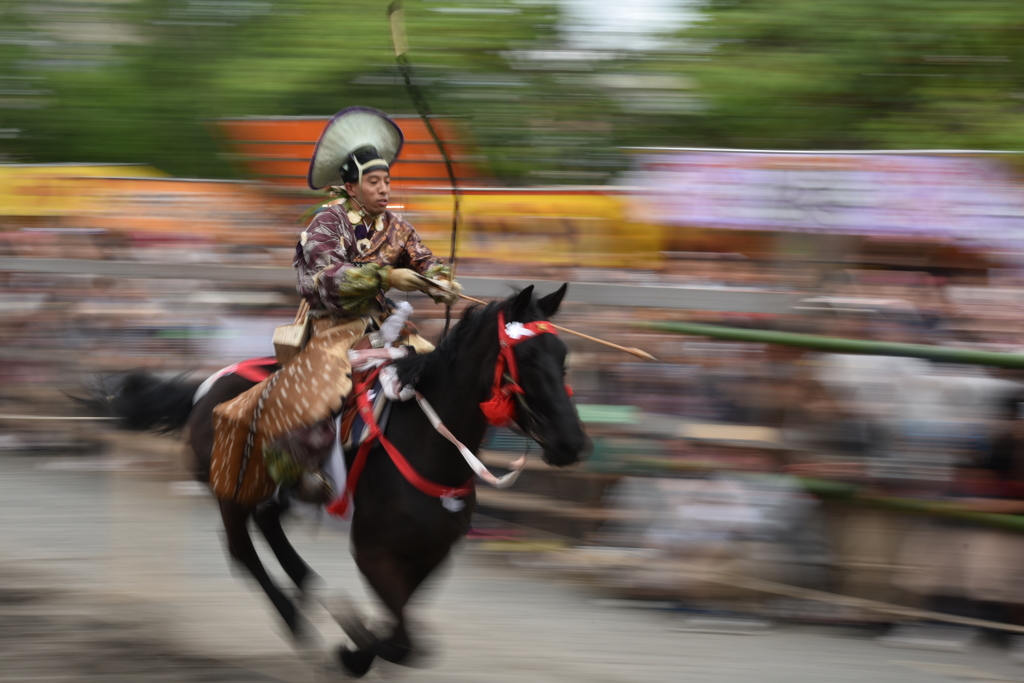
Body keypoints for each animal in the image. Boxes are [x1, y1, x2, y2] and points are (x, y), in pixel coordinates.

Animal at [92, 284, 589, 679]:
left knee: (270, 526)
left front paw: (358, 642)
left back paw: (314, 593)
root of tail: (207, 386)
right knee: (242, 551)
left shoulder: (432, 554)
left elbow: (406, 636)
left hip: (274, 491)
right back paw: (298, 617)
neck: (430, 445)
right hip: (231, 488)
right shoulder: (373, 552)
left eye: (563, 356)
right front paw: (354, 649)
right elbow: (403, 642)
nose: (572, 441)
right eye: (525, 357)